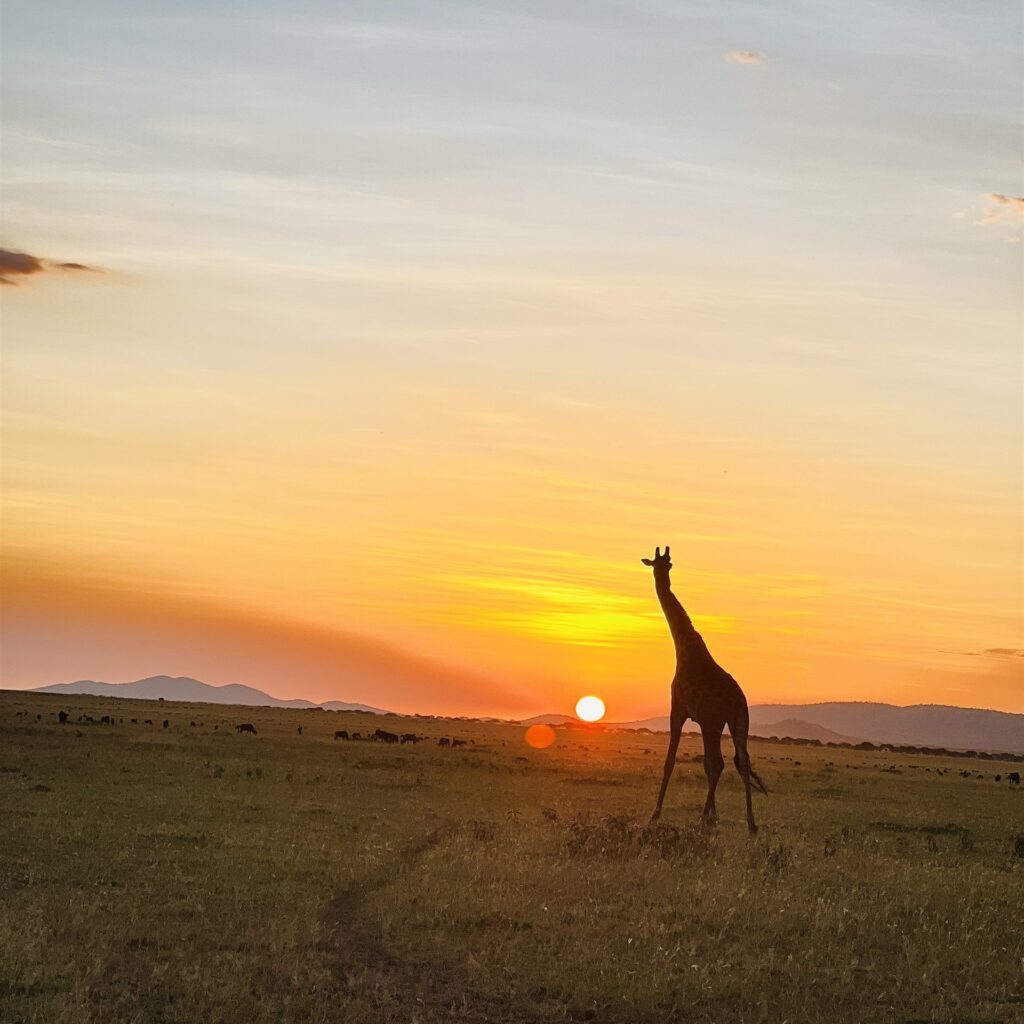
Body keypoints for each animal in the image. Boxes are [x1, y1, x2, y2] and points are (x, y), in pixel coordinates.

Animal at [642, 546, 767, 833]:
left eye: (665, 564)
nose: (661, 578)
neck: (683, 647)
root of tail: (737, 699)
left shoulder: (678, 710)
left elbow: (670, 762)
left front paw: (655, 813)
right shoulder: (700, 720)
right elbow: (706, 766)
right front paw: (715, 814)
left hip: (714, 721)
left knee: (721, 762)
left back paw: (703, 818)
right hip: (738, 721)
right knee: (742, 761)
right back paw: (751, 822)